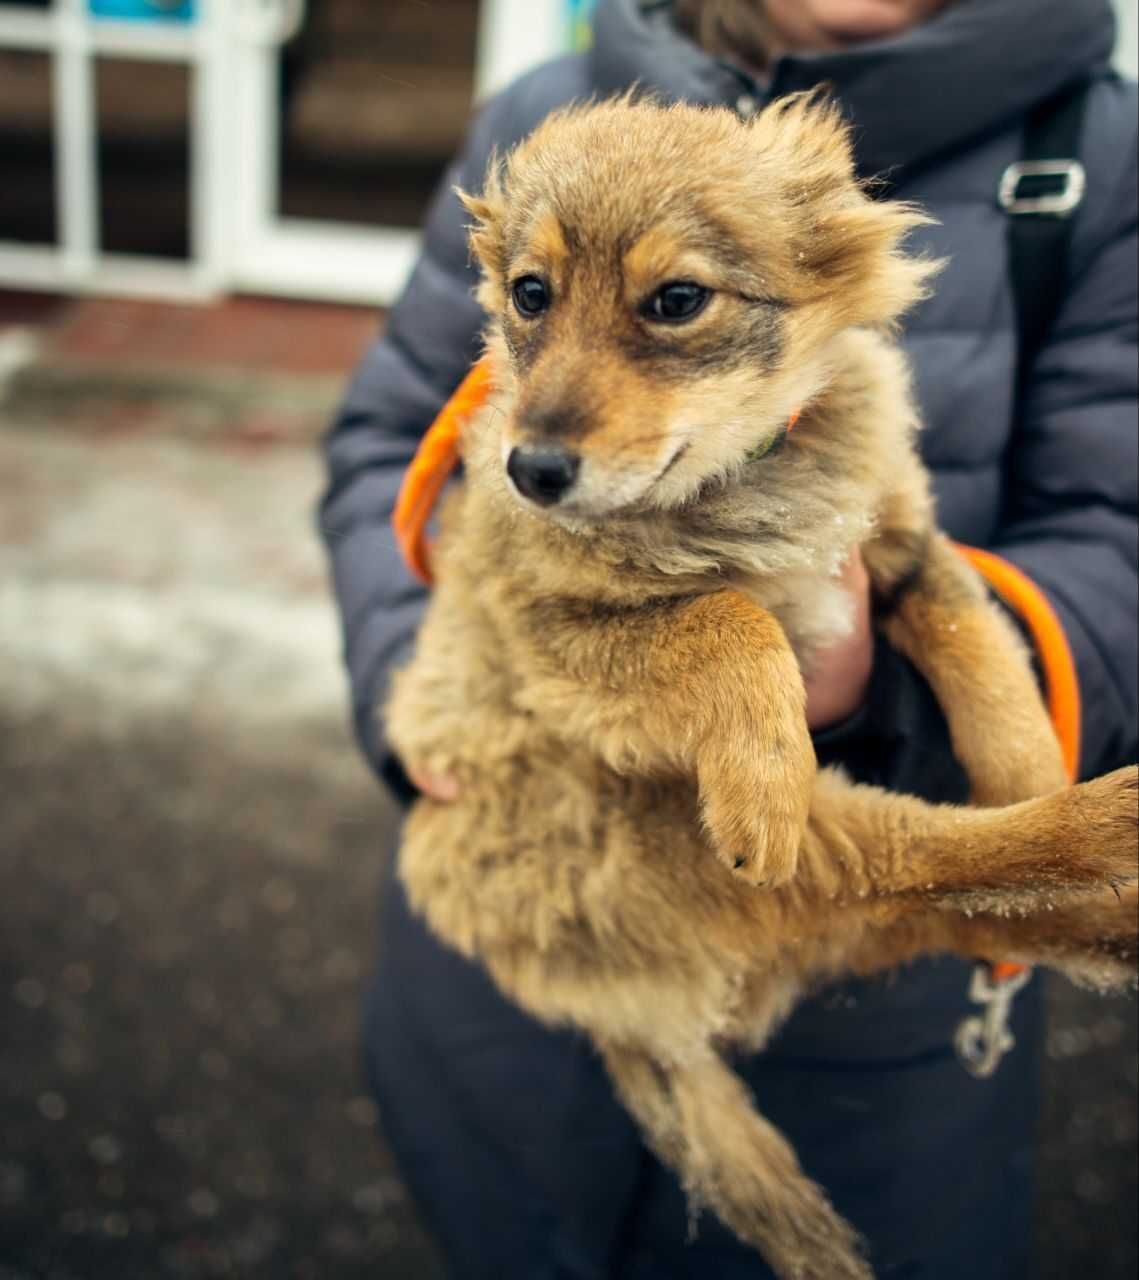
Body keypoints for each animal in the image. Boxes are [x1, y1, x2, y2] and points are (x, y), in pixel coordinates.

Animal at [383, 99, 1136, 1280]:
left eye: (675, 301)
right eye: (529, 293)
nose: (531, 472)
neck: (743, 483)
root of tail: (627, 1026)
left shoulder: (894, 538)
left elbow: (976, 637)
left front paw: (1025, 757)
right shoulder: (558, 640)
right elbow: (730, 620)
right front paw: (762, 775)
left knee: (950, 903)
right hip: (736, 852)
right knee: (928, 868)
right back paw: (1109, 828)